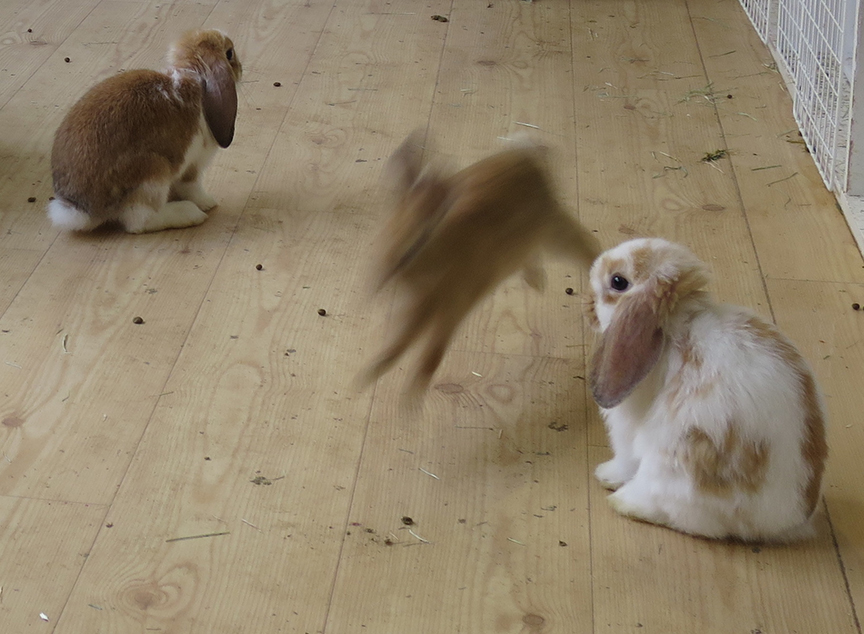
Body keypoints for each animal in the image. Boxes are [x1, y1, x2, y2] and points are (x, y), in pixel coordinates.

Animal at [48, 29, 242, 234]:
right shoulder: (192, 164)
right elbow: (192, 187)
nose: (241, 68)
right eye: (229, 53)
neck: (194, 75)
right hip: (153, 172)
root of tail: (81, 208)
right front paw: (208, 202)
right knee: (139, 221)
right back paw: (188, 213)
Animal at [360, 131, 600, 401]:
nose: (378, 280)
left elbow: (431, 354)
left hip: (554, 233)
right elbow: (398, 345)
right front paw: (368, 374)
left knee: (589, 247)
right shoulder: (416, 312)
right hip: (530, 240)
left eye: (414, 245)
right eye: (384, 231)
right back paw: (536, 282)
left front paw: (409, 399)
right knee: (531, 255)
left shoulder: (451, 310)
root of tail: (528, 158)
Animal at [587, 237, 828, 541]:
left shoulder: (626, 430)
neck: (673, 326)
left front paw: (605, 473)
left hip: (674, 464)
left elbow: (625, 457)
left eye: (618, 281)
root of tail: (785, 520)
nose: (589, 303)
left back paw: (623, 502)